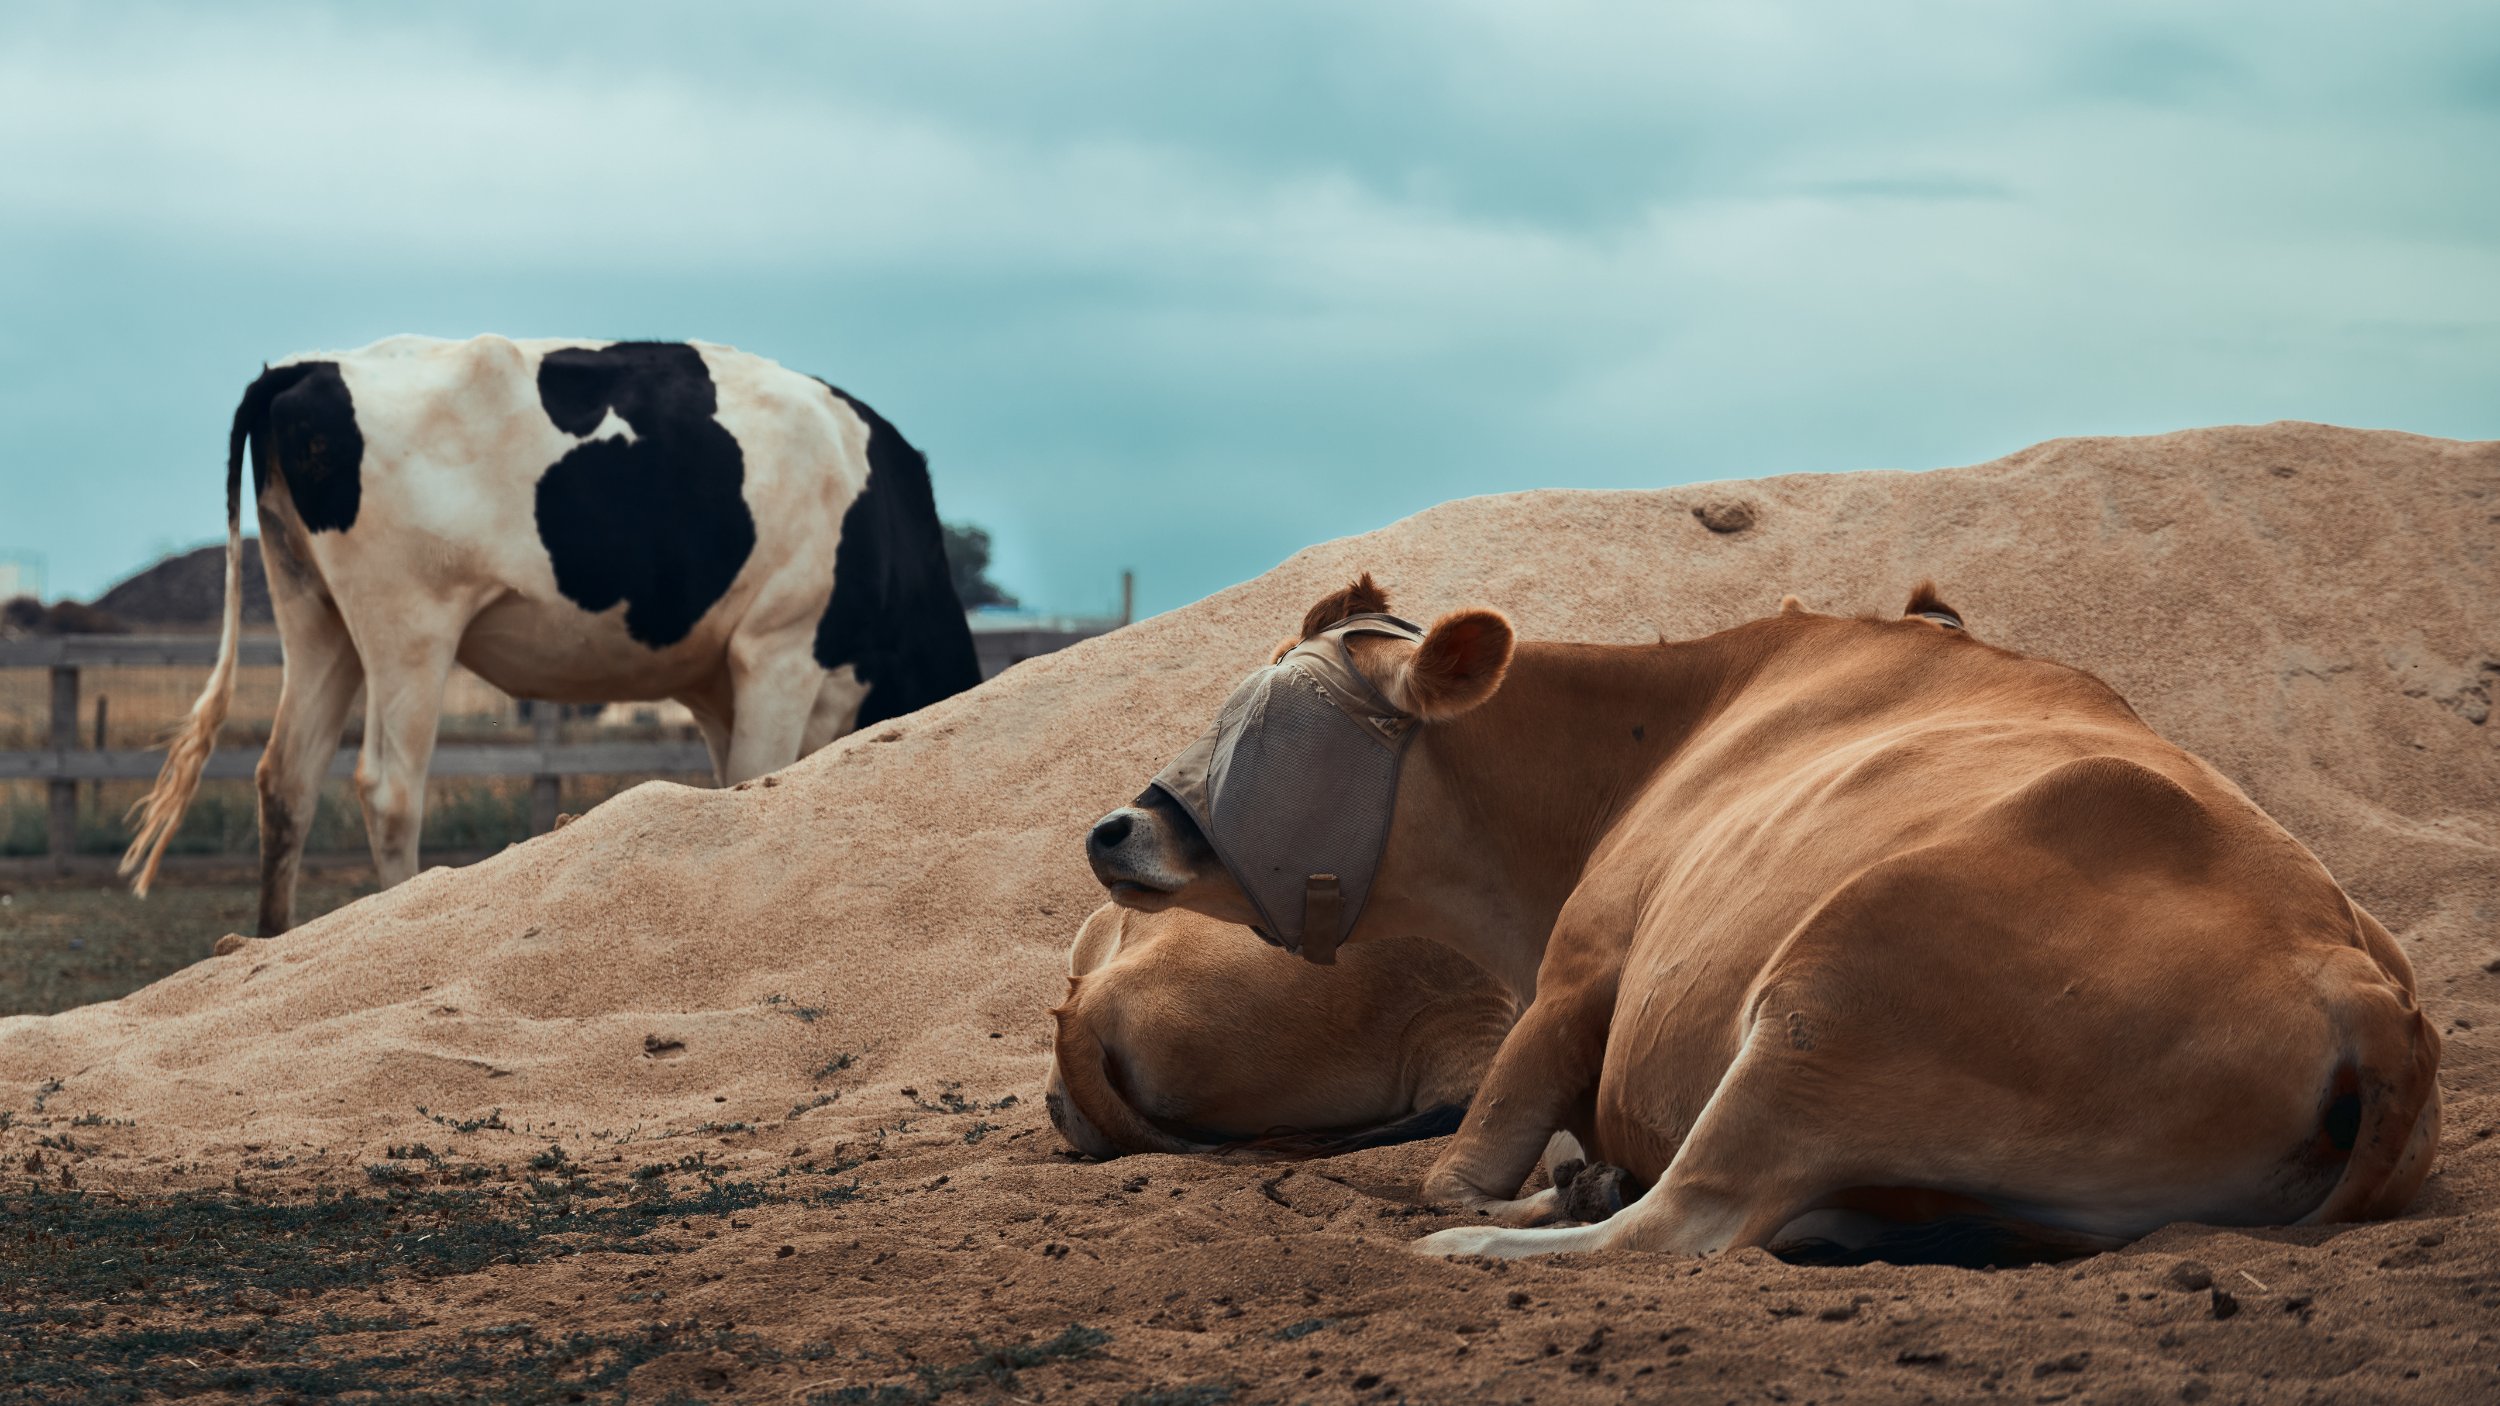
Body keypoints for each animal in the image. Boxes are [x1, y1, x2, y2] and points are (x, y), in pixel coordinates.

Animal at [123, 335, 981, 935]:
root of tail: (309, 367)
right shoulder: (779, 648)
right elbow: (755, 783)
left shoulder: (717, 686)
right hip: (410, 624)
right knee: (390, 788)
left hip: (315, 615)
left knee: (287, 781)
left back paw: (273, 945)